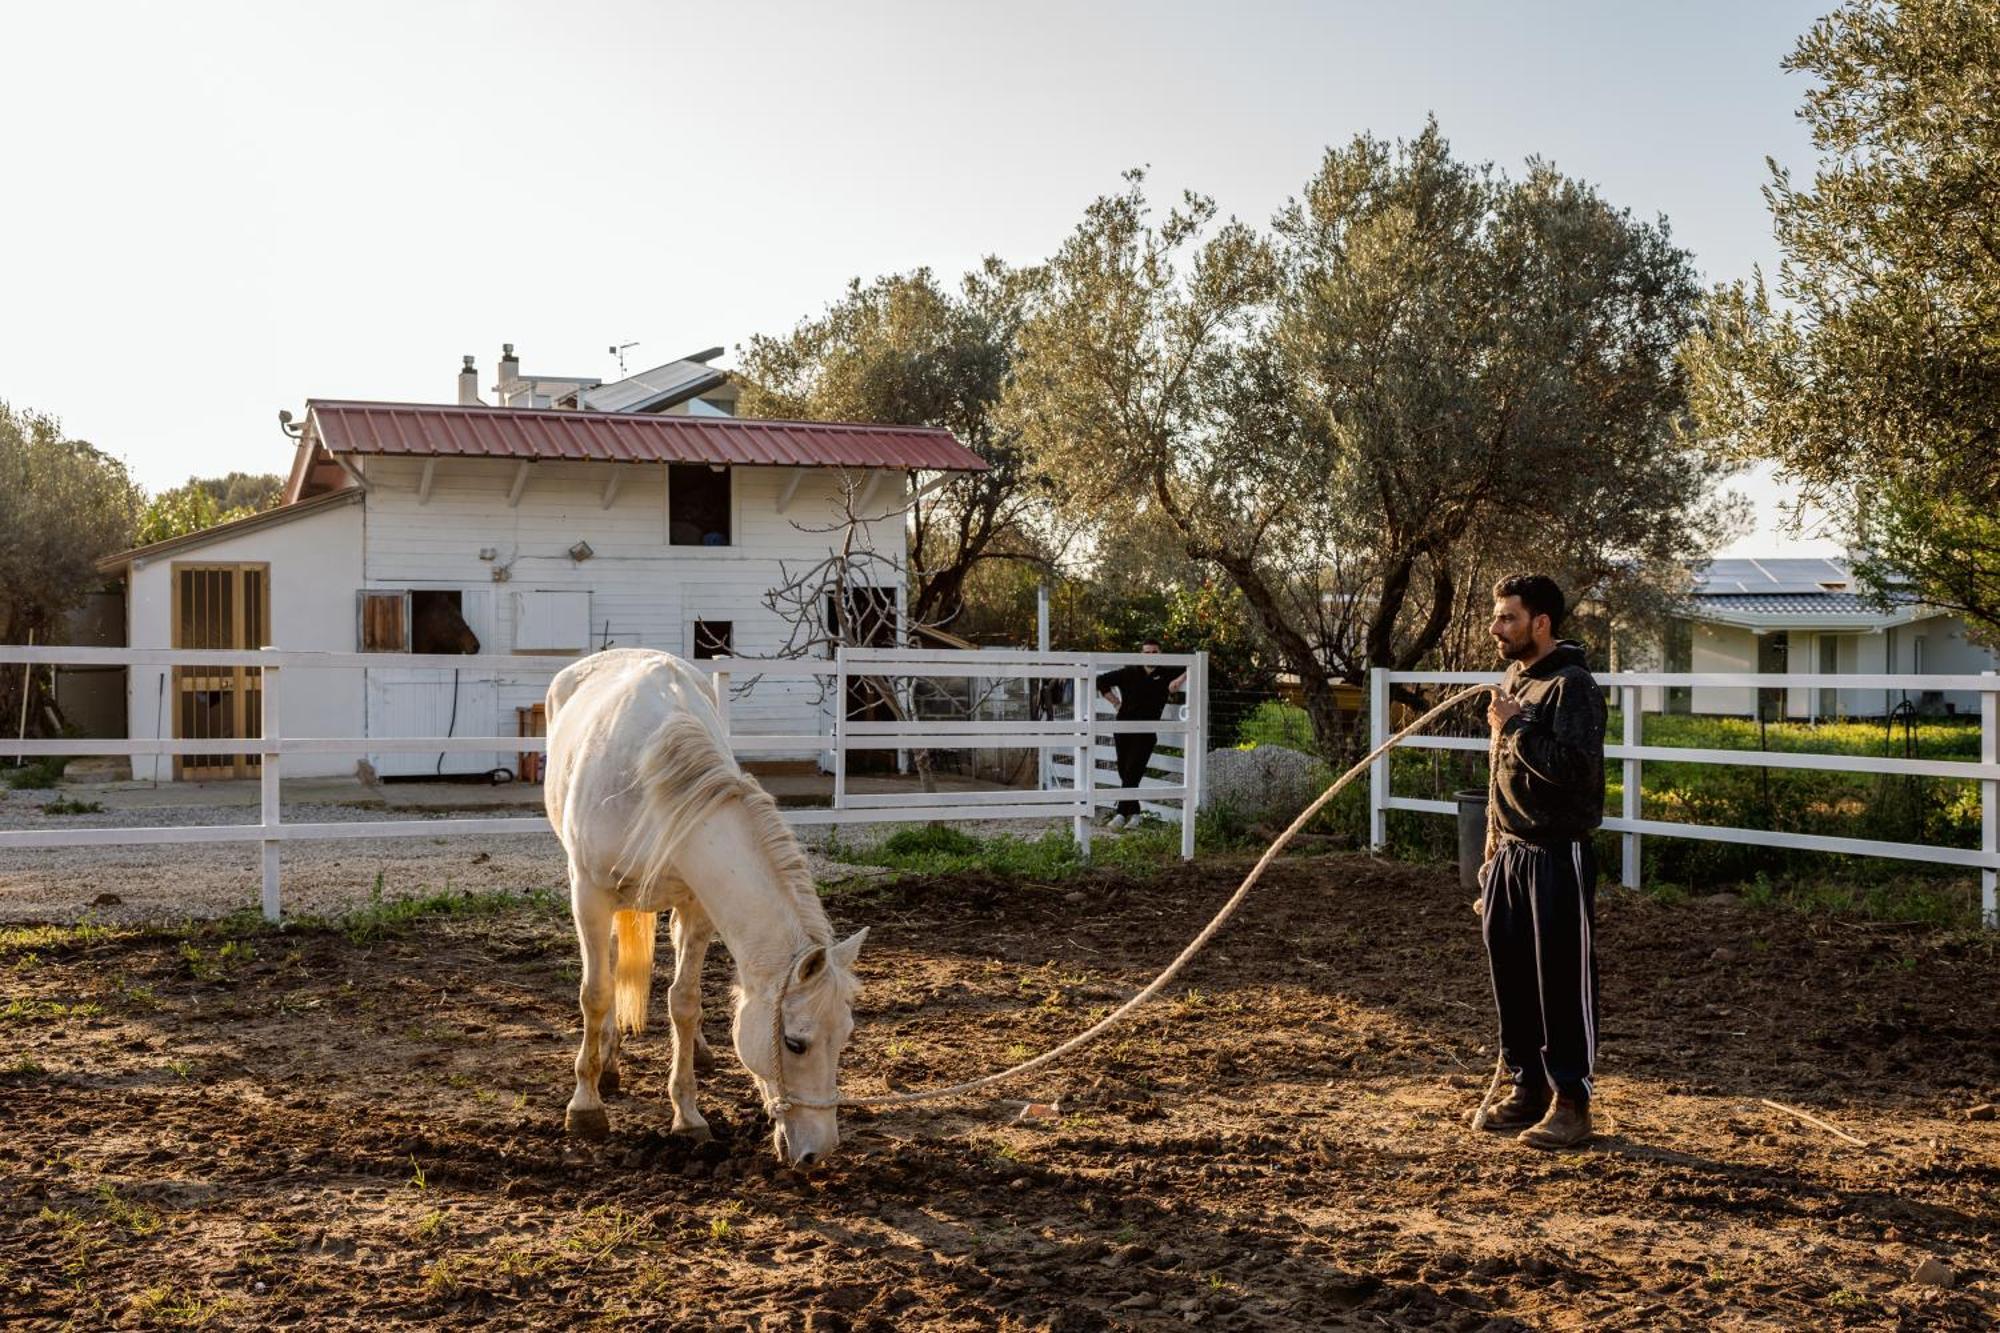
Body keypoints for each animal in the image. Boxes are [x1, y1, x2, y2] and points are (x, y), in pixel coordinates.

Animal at [544, 648, 864, 1160]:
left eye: (846, 1035)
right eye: (795, 1043)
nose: (819, 1151)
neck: (650, 780)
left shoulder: (698, 907)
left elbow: (685, 1001)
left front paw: (688, 1115)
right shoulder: (589, 894)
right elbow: (595, 993)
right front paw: (586, 1107)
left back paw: (696, 1050)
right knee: (607, 967)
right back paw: (607, 1064)